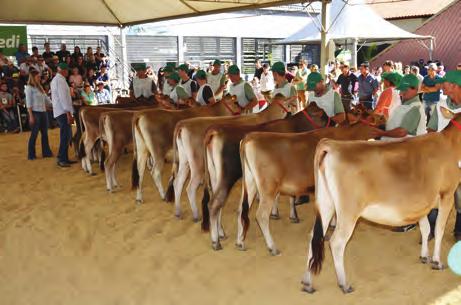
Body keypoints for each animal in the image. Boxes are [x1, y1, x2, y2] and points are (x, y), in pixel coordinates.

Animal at [201, 102, 330, 249]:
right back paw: (216, 241)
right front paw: (293, 216)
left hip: (215, 175)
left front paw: (275, 213)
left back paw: (221, 233)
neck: (293, 126)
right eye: (323, 115)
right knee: (215, 203)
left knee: (218, 204)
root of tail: (214, 130)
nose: (333, 123)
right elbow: (290, 196)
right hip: (227, 176)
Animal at [235, 118, 382, 254]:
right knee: (261, 215)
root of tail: (251, 136)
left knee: (241, 209)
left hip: (250, 183)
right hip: (268, 187)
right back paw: (272, 247)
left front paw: (332, 224)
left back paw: (240, 242)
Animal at [302, 114, 461, 292]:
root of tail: (332, 145)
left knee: (314, 236)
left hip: (325, 203)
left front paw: (424, 256)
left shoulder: (422, 204)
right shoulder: (447, 194)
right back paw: (344, 284)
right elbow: (439, 229)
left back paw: (307, 283)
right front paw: (437, 262)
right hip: (348, 212)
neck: (451, 144)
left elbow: (426, 229)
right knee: (336, 242)